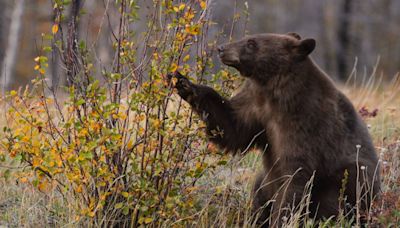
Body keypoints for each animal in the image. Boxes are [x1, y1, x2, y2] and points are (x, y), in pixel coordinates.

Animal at [167, 33, 380, 227]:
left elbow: (294, 175)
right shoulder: (256, 107)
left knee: (336, 198)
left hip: (349, 178)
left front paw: (281, 218)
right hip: (266, 179)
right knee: (259, 189)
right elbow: (231, 126)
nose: (221, 49)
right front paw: (182, 81)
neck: (275, 92)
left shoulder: (305, 123)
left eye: (251, 42)